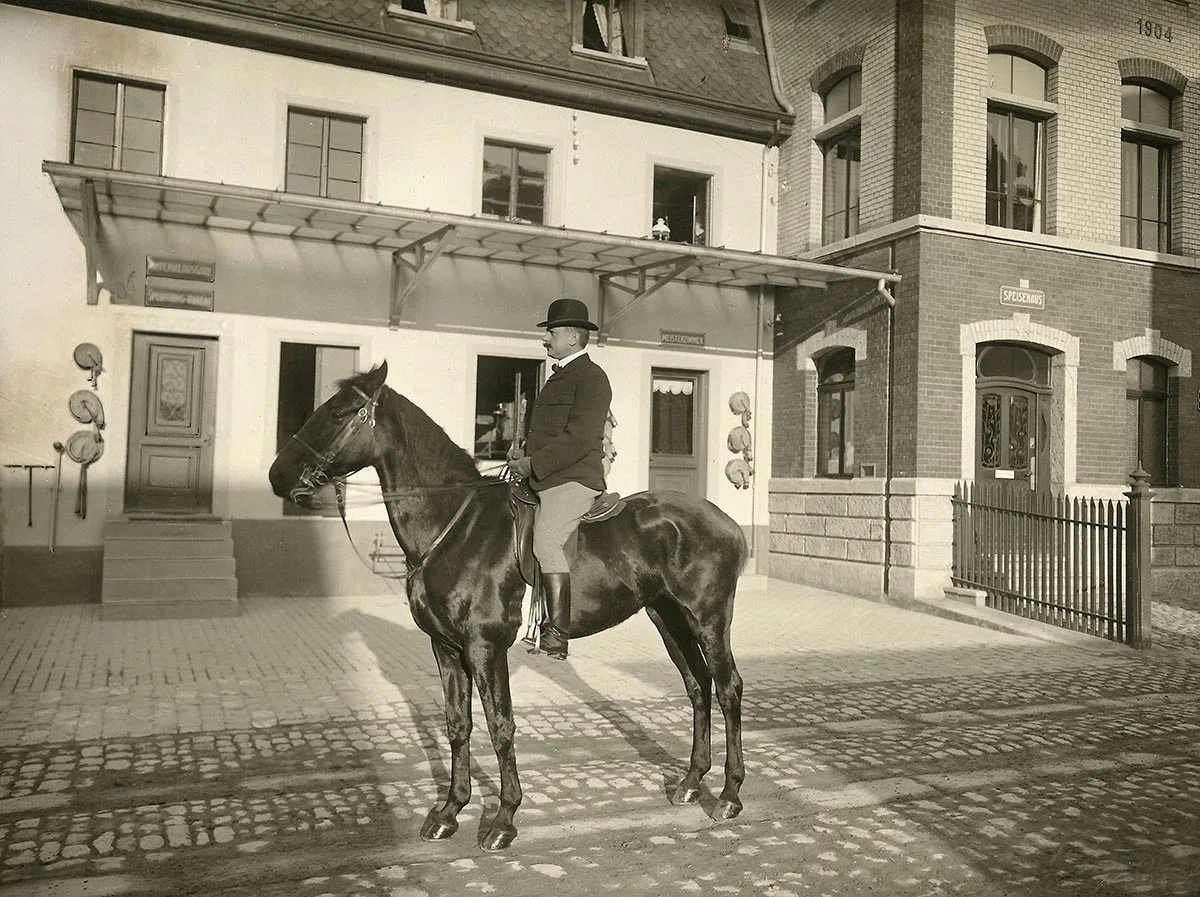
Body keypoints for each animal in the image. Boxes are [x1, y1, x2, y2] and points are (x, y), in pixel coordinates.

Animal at [267, 359, 744, 853]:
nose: (278, 475)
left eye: (338, 413)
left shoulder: (485, 647)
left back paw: (729, 795)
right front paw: (449, 811)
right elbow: (458, 724)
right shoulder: (446, 648)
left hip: (709, 620)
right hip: (669, 620)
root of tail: (725, 520)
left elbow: (501, 725)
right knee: (698, 686)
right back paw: (691, 782)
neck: (454, 521)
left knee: (728, 688)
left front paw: (504, 819)